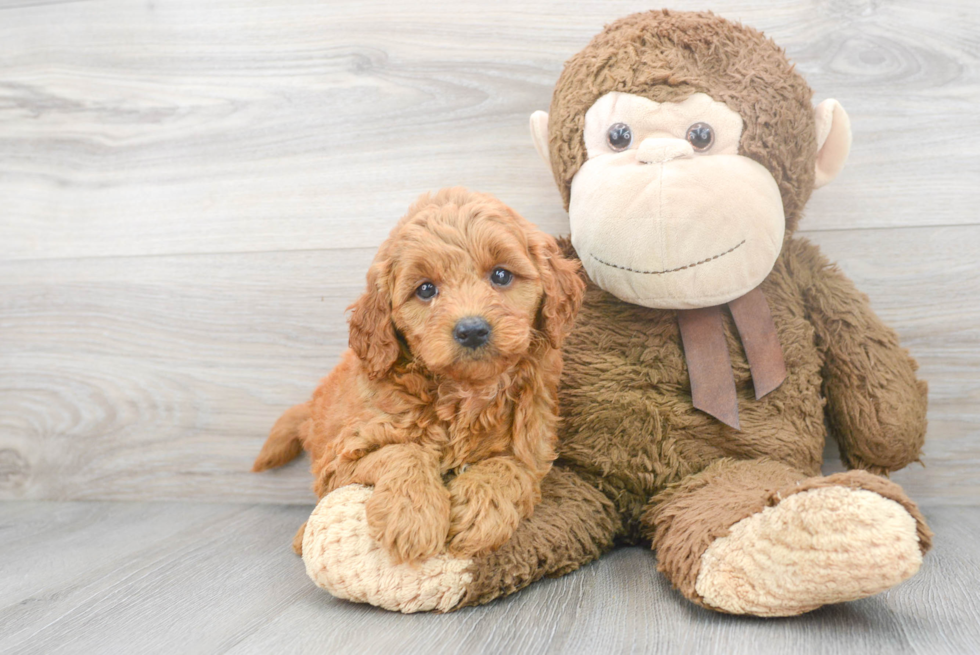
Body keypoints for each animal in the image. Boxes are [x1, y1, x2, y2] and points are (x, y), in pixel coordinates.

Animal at [253, 187, 584, 560]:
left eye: (501, 275)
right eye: (426, 289)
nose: (472, 330)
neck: (464, 394)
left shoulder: (534, 445)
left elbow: (511, 466)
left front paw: (479, 512)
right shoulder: (340, 457)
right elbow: (404, 451)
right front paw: (411, 516)